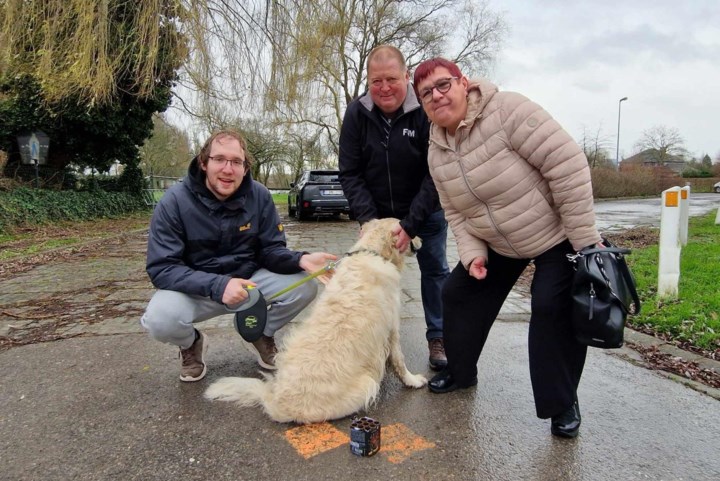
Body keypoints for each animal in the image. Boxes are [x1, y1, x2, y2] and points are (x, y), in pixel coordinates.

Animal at [204, 218, 428, 424]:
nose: (422, 238)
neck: (373, 252)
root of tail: (274, 400)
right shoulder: (392, 326)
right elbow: (399, 359)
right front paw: (413, 381)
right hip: (367, 384)